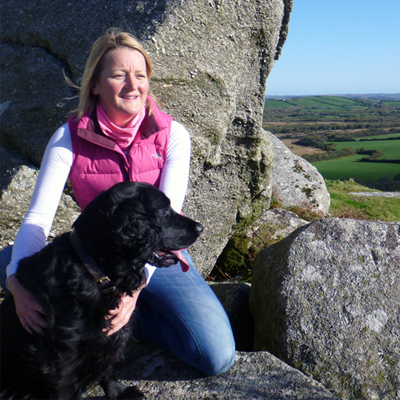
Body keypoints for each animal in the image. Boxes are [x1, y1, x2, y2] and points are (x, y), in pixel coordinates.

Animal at [0, 181, 203, 399]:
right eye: (164, 211)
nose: (200, 228)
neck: (93, 270)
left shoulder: (114, 331)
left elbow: (108, 369)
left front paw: (119, 392)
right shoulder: (63, 352)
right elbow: (64, 387)